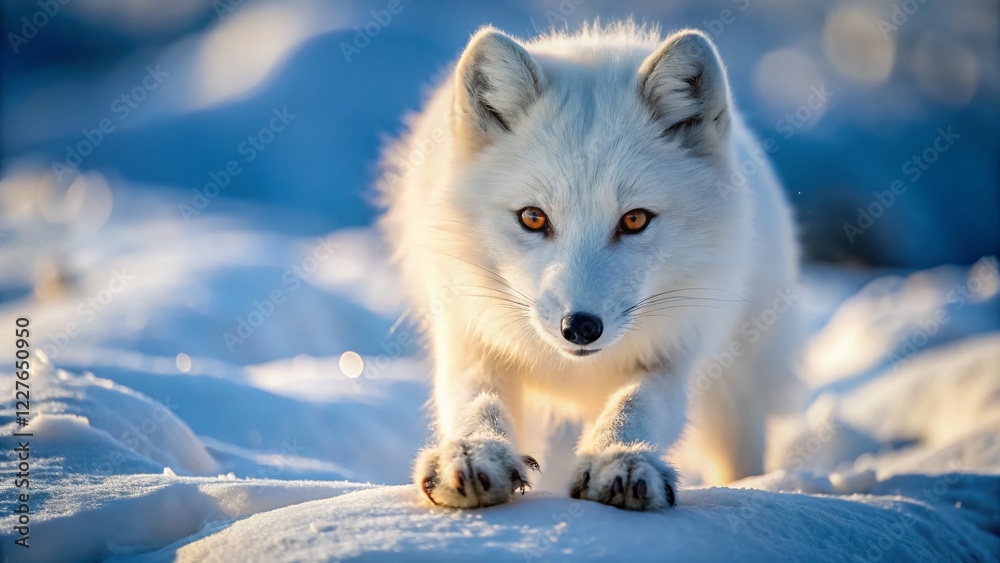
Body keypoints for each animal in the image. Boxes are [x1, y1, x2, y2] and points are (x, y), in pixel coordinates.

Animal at [378, 21, 802, 511]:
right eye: (532, 217)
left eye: (634, 220)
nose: (580, 327)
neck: (575, 370)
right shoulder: (470, 334)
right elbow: (476, 402)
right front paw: (472, 453)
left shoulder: (676, 352)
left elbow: (636, 403)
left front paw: (621, 458)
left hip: (736, 391)